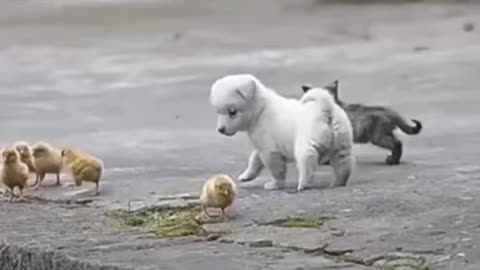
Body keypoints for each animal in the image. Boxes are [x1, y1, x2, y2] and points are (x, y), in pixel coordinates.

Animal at [209, 74, 352, 191]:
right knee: (343, 167)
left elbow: (276, 170)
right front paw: (247, 175)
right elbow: (255, 159)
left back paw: (304, 185)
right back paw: (338, 183)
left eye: (232, 112)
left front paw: (275, 185)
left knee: (308, 165)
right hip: (341, 147)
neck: (261, 109)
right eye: (218, 112)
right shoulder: (262, 146)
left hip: (305, 147)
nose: (221, 130)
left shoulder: (269, 151)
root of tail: (325, 108)